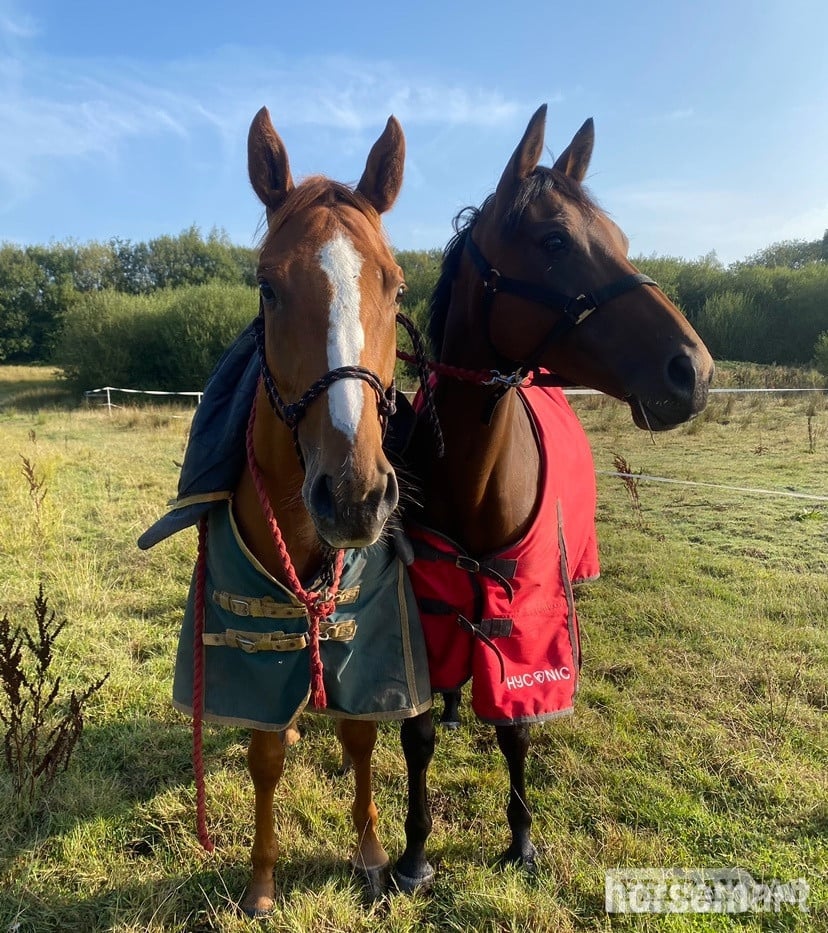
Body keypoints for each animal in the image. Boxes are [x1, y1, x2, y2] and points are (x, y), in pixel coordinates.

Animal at [140, 107, 432, 917]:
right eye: (268, 287)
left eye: (397, 286)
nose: (355, 494)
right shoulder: (251, 635)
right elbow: (265, 753)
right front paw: (263, 880)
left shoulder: (367, 629)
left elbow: (361, 735)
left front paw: (371, 854)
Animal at [392, 104, 715, 890]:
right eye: (554, 240)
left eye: (620, 240)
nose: (693, 371)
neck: (472, 477)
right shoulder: (426, 607)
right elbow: (418, 732)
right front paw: (413, 854)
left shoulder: (528, 614)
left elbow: (516, 728)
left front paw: (520, 840)